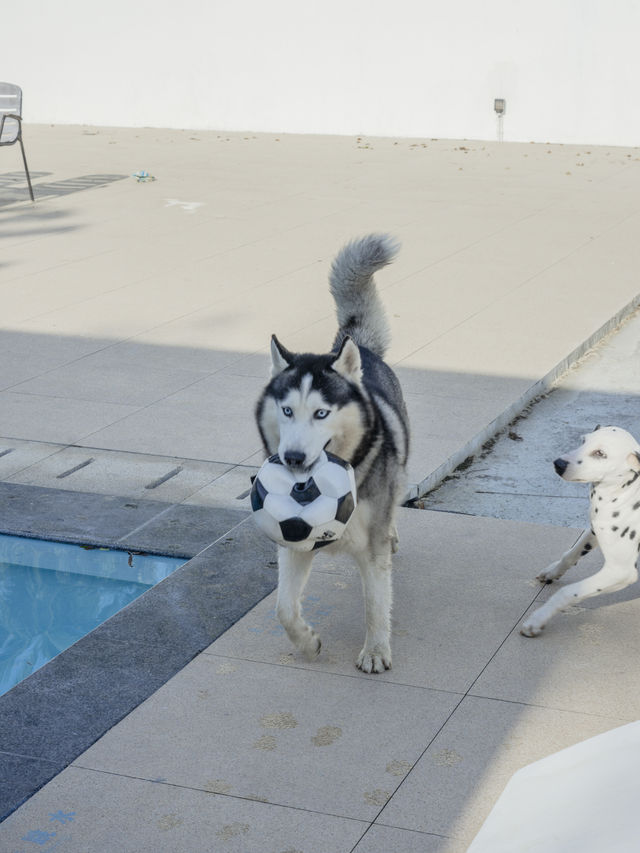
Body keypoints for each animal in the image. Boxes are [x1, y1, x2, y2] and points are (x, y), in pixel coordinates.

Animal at [255, 235, 410, 672]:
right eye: (287, 410)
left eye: (321, 413)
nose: (292, 458)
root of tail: (357, 348)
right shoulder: (291, 538)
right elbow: (283, 608)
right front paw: (307, 643)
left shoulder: (372, 550)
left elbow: (376, 603)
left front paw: (375, 651)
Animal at [520, 430, 640, 636]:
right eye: (583, 440)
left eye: (600, 453)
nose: (558, 463)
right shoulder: (594, 531)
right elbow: (570, 554)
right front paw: (553, 571)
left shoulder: (620, 571)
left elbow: (567, 592)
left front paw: (538, 619)